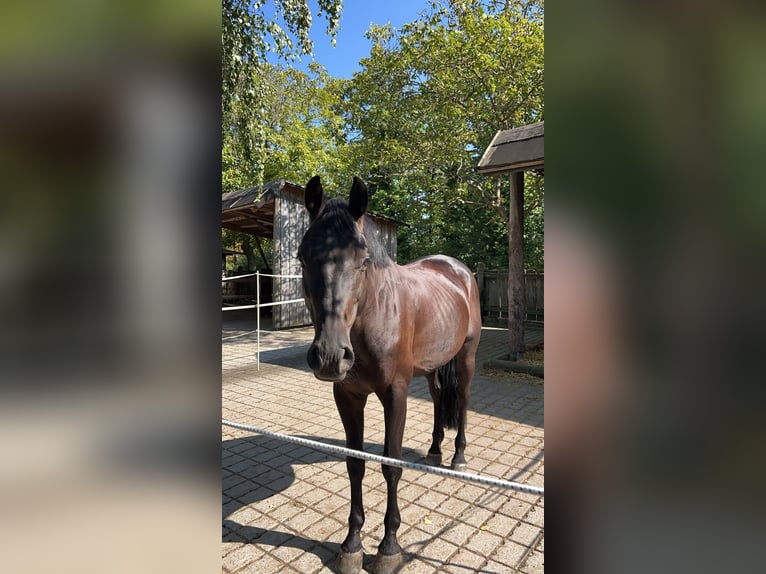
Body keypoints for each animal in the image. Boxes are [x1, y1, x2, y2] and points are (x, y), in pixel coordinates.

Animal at [298, 176, 484, 574]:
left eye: (363, 260)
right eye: (303, 257)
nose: (330, 356)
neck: (373, 314)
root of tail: (458, 270)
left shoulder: (395, 394)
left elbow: (390, 466)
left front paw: (388, 547)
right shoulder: (348, 397)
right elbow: (355, 464)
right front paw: (352, 544)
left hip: (466, 356)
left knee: (462, 400)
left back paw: (459, 456)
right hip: (430, 367)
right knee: (437, 398)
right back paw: (434, 450)